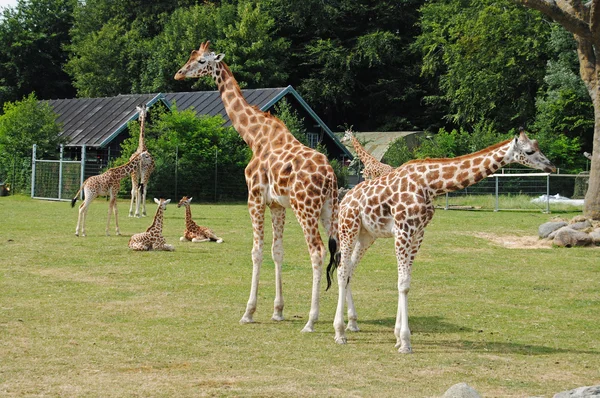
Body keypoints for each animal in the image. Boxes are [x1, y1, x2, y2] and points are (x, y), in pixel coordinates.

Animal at [176, 41, 340, 332]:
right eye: (191, 56)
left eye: (202, 61)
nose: (179, 73)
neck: (254, 137)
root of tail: (330, 175)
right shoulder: (277, 205)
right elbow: (277, 251)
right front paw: (277, 311)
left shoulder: (254, 198)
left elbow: (256, 251)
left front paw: (249, 312)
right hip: (328, 209)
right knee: (343, 252)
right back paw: (346, 321)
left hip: (306, 209)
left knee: (318, 252)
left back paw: (311, 320)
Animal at [330, 126, 556, 352]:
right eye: (529, 151)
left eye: (537, 146)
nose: (551, 166)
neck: (430, 185)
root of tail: (346, 198)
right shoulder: (403, 230)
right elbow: (402, 283)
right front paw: (405, 341)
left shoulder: (418, 233)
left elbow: (406, 283)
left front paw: (398, 338)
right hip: (348, 227)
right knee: (341, 270)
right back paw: (340, 333)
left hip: (366, 235)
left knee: (349, 269)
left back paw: (352, 323)